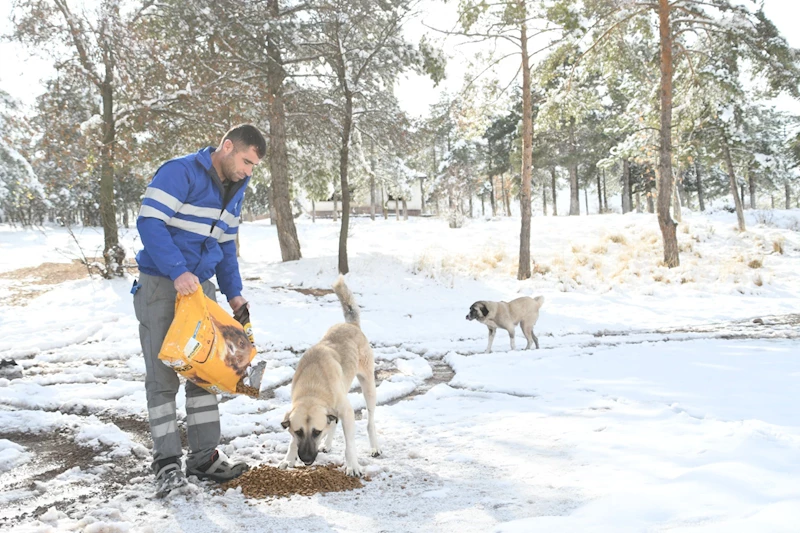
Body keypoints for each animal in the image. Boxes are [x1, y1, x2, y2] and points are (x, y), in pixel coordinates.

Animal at [278, 276, 382, 476]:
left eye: (316, 432)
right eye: (299, 432)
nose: (306, 460)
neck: (312, 386)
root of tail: (351, 325)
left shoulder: (347, 413)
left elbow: (350, 445)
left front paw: (353, 466)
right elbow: (293, 441)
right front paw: (289, 458)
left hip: (368, 386)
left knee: (370, 421)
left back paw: (375, 447)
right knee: (334, 422)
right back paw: (327, 444)